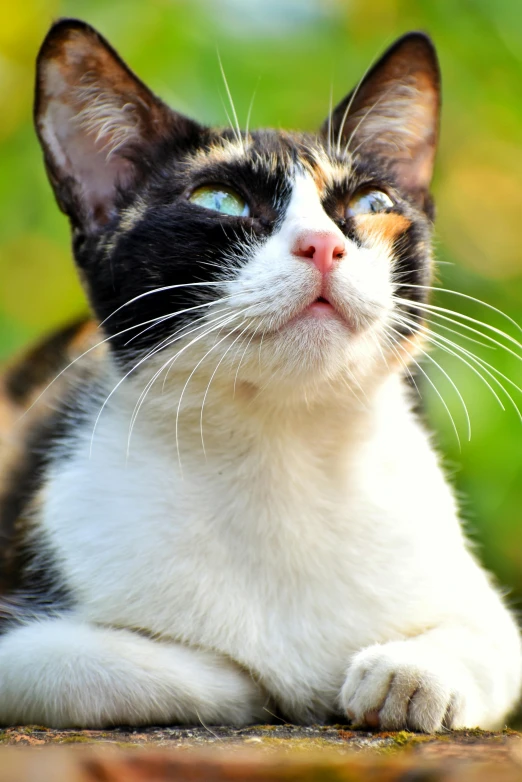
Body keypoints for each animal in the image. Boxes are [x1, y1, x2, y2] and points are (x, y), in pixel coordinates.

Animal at [0, 15, 516, 732]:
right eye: (219, 200)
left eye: (372, 201)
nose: (322, 245)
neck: (280, 447)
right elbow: (94, 666)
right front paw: (245, 680)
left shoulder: (475, 598)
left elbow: (489, 637)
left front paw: (408, 675)